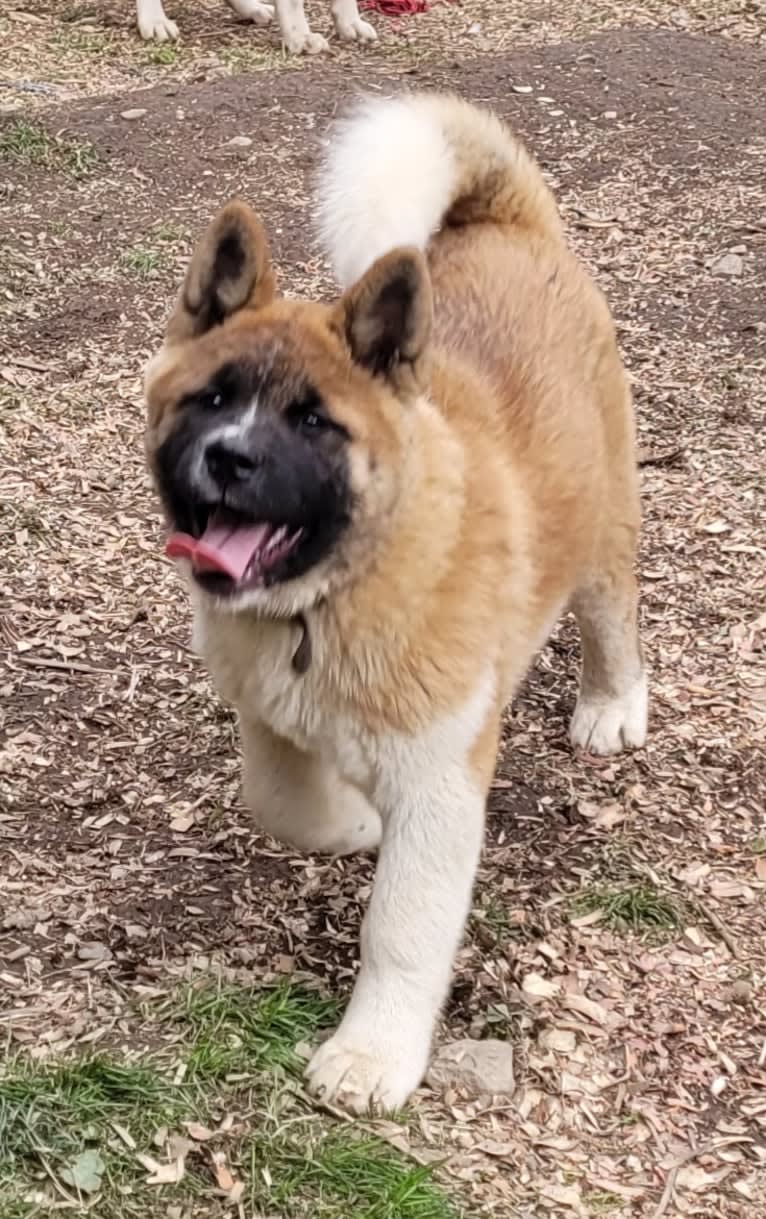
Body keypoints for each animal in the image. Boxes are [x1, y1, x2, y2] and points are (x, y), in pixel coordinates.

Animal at [143, 92, 644, 1116]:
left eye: (312, 421)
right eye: (211, 398)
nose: (230, 458)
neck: (333, 597)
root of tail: (505, 222)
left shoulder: (441, 780)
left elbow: (403, 929)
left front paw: (372, 1055)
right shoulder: (272, 717)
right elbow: (282, 803)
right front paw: (352, 821)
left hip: (603, 520)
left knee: (613, 610)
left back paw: (614, 705)